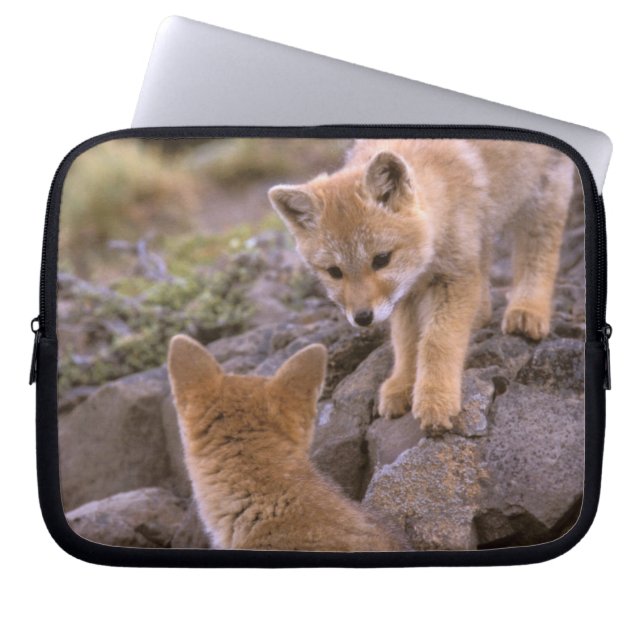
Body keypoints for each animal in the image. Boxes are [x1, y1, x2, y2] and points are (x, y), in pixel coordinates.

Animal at [268, 139, 575, 432]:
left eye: (381, 259)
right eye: (334, 272)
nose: (363, 318)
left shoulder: (457, 276)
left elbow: (436, 341)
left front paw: (435, 399)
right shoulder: (407, 292)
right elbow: (406, 342)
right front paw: (402, 384)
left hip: (542, 200)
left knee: (539, 255)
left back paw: (527, 310)